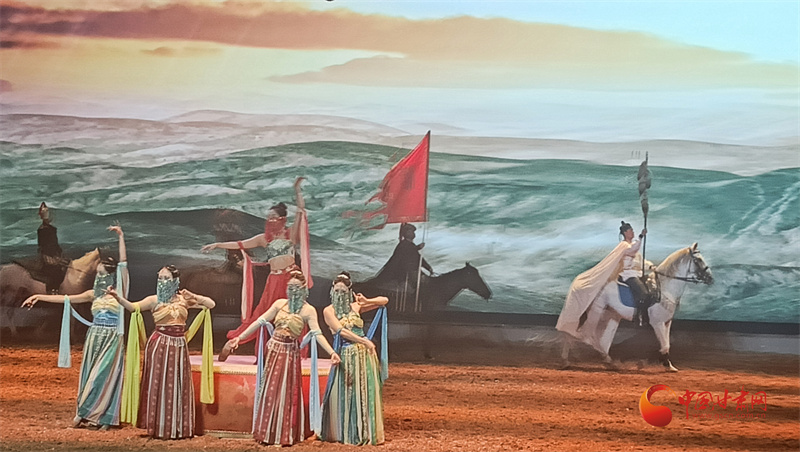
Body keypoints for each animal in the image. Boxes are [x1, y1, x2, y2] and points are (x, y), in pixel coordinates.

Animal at [560, 243, 713, 372]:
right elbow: (664, 344)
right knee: (586, 334)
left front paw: (669, 365)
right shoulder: (657, 323)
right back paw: (570, 360)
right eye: (698, 260)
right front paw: (666, 364)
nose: (710, 278)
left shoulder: (667, 322)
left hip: (611, 314)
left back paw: (605, 361)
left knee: (594, 338)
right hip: (595, 311)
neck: (664, 288)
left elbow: (667, 344)